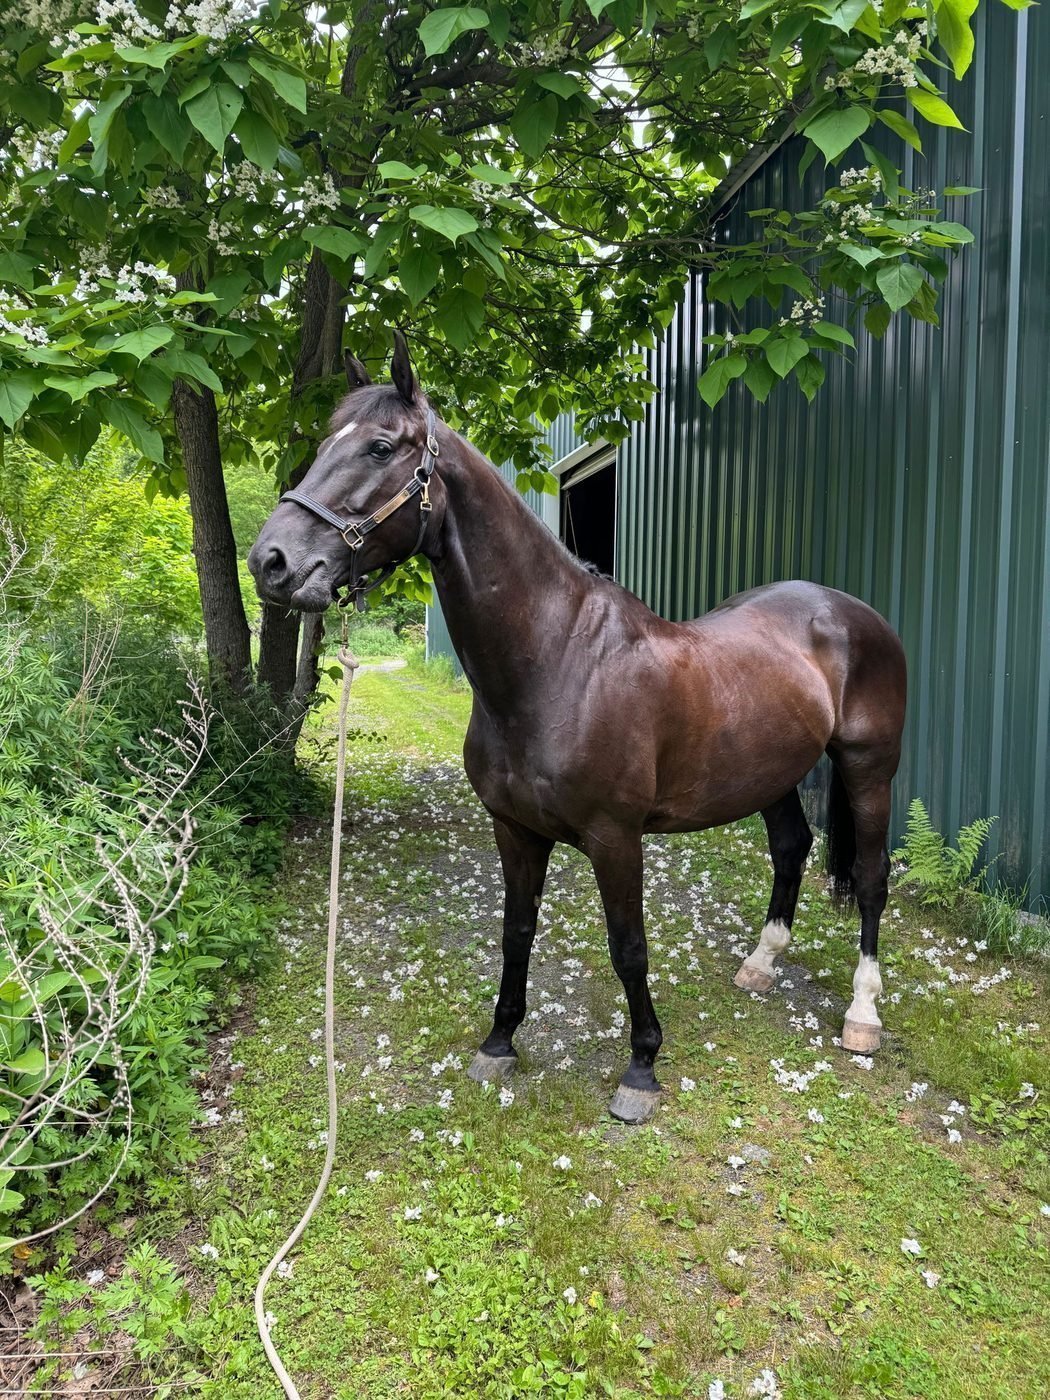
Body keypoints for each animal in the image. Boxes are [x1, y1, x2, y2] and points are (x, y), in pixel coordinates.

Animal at [248, 334, 907, 1124]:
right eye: (322, 445)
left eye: (380, 447)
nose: (271, 562)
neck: (556, 662)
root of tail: (848, 611)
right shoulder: (514, 830)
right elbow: (516, 932)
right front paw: (500, 1042)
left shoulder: (614, 838)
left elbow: (629, 948)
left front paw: (642, 1068)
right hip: (770, 772)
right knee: (791, 849)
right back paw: (760, 965)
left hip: (869, 767)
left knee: (870, 879)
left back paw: (862, 1016)